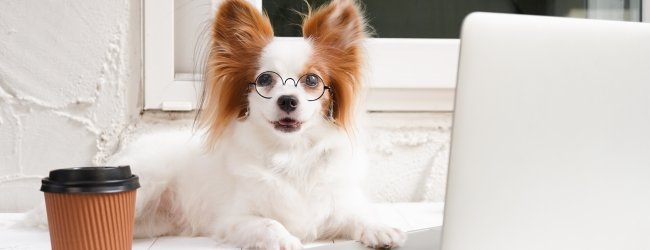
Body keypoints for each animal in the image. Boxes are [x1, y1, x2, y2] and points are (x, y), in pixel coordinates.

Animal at [109, 0, 404, 249]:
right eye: (264, 80)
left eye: (311, 80)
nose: (287, 100)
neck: (291, 153)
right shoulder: (232, 220)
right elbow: (269, 223)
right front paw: (286, 240)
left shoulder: (338, 204)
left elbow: (359, 213)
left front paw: (380, 228)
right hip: (148, 184)